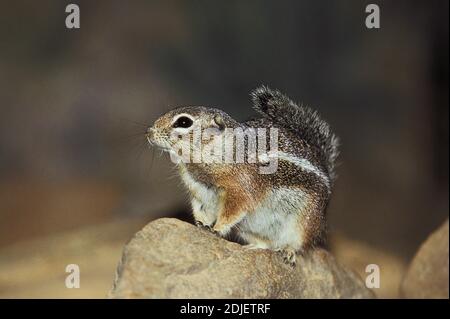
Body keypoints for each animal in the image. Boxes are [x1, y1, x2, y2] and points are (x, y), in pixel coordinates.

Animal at [146, 86, 340, 266]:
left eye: (184, 121)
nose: (149, 132)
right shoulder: (199, 190)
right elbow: (200, 209)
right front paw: (202, 225)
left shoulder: (241, 189)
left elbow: (232, 211)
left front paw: (216, 229)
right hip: (247, 229)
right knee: (267, 245)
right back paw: (251, 247)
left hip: (305, 223)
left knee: (298, 244)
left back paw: (288, 252)